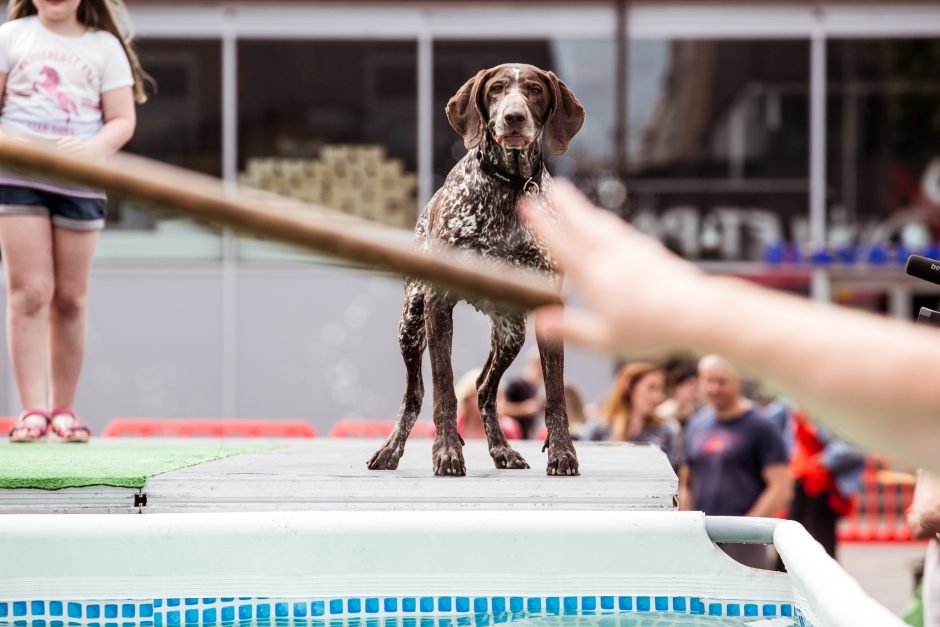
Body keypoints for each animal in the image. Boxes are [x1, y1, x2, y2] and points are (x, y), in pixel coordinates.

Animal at [366, 62, 580, 476]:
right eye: (496, 89)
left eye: (534, 90)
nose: (513, 117)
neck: (510, 187)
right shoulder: (437, 302)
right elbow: (444, 390)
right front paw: (447, 452)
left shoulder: (548, 305)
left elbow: (556, 396)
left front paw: (563, 453)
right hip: (411, 322)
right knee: (415, 392)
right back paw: (390, 450)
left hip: (511, 331)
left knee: (484, 388)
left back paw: (503, 450)